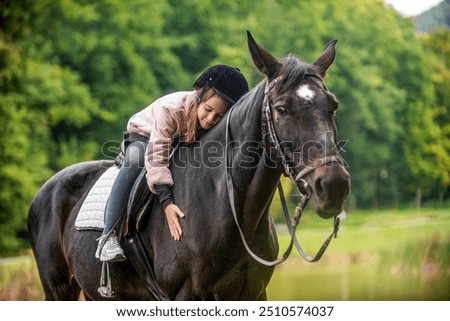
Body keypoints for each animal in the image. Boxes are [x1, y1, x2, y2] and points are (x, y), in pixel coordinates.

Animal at [27, 31, 352, 298]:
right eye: (282, 109)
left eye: (333, 105)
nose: (333, 185)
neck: (225, 207)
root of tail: (47, 188)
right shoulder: (185, 294)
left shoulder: (254, 293)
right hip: (58, 289)